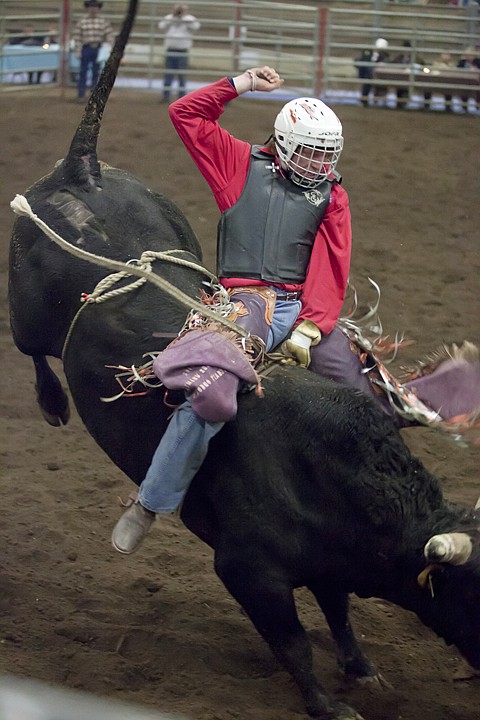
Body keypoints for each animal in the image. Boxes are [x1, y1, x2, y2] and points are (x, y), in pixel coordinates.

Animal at [5, 2, 480, 716]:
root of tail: (80, 169)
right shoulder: (247, 570)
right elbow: (294, 643)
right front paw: (327, 702)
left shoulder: (331, 562)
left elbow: (338, 614)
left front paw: (361, 667)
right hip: (25, 307)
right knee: (31, 349)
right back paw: (54, 406)